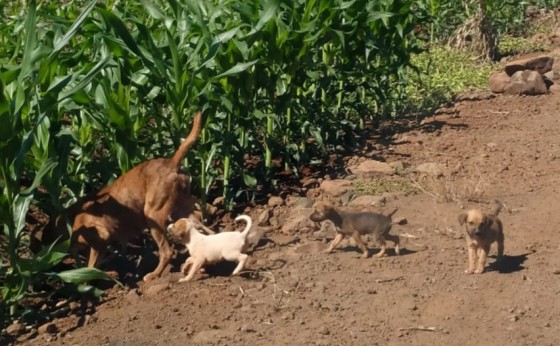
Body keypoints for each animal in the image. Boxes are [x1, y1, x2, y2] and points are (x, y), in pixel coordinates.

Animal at [32, 111, 203, 282]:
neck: (70, 217)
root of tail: (173, 163)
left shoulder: (100, 237)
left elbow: (91, 266)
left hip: (153, 217)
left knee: (167, 251)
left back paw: (154, 275)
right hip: (184, 210)